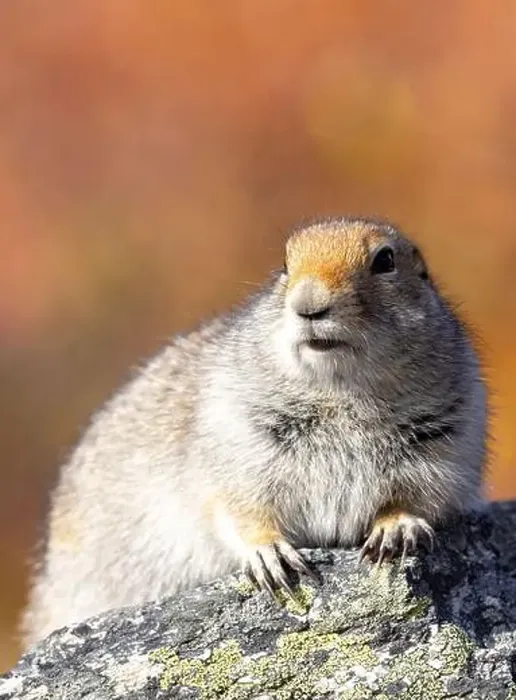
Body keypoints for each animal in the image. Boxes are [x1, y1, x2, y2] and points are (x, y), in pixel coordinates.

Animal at [21, 217, 488, 648]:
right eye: (284, 265)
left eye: (385, 261)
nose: (307, 305)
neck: (340, 391)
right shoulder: (235, 443)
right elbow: (237, 509)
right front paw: (271, 555)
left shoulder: (446, 441)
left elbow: (418, 497)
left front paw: (396, 528)